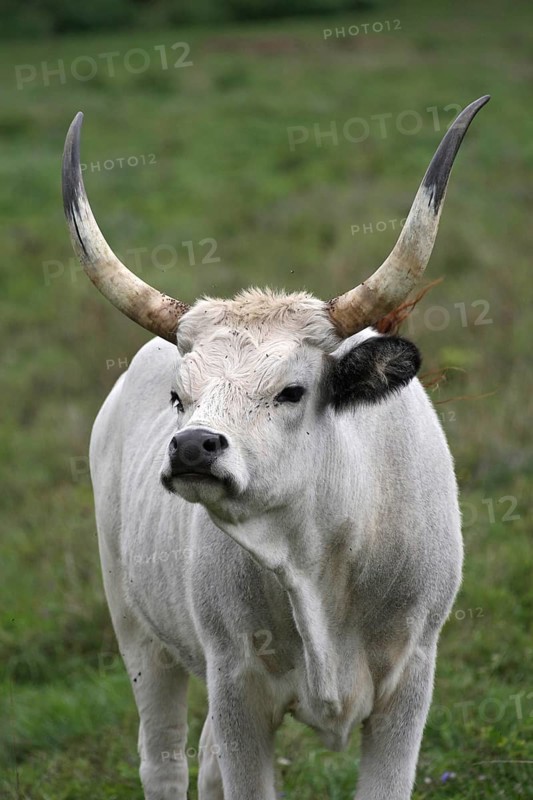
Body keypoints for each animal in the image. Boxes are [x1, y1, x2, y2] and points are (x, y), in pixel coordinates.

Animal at [61, 96, 489, 800]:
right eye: (180, 395)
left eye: (292, 391)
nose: (193, 447)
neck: (320, 554)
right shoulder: (238, 683)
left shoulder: (411, 684)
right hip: (136, 627)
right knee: (165, 758)